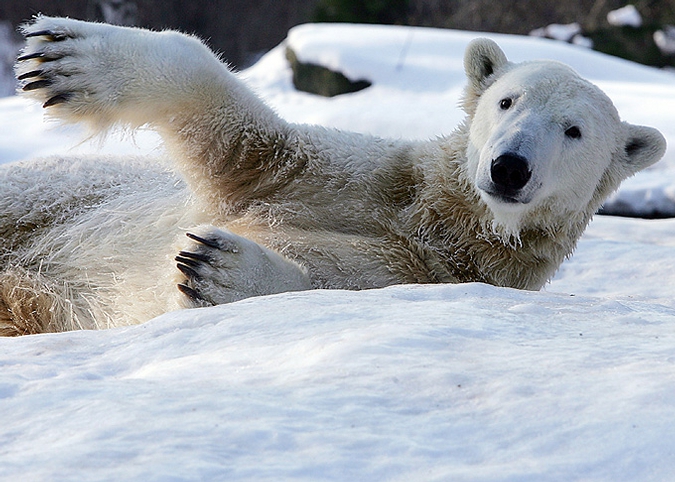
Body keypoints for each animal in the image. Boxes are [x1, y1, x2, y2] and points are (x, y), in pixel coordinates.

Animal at [2, 17, 664, 336]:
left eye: (574, 131)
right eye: (507, 100)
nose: (509, 166)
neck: (442, 220)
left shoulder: (436, 273)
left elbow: (332, 282)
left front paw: (218, 268)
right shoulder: (356, 177)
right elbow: (246, 142)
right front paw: (65, 57)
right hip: (62, 192)